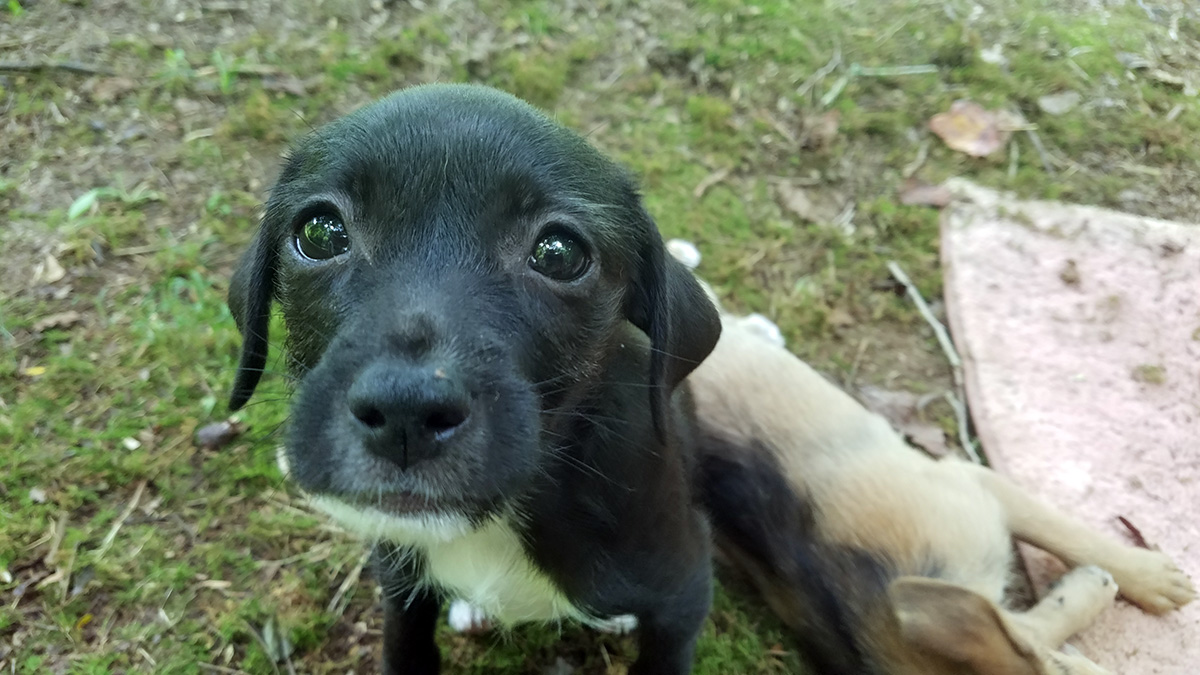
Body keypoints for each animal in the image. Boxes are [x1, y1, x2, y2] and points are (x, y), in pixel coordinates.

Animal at [225, 85, 720, 672]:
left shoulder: (683, 593)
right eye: (320, 234)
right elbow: (405, 645)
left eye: (559, 254)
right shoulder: (400, 578)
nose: (405, 413)